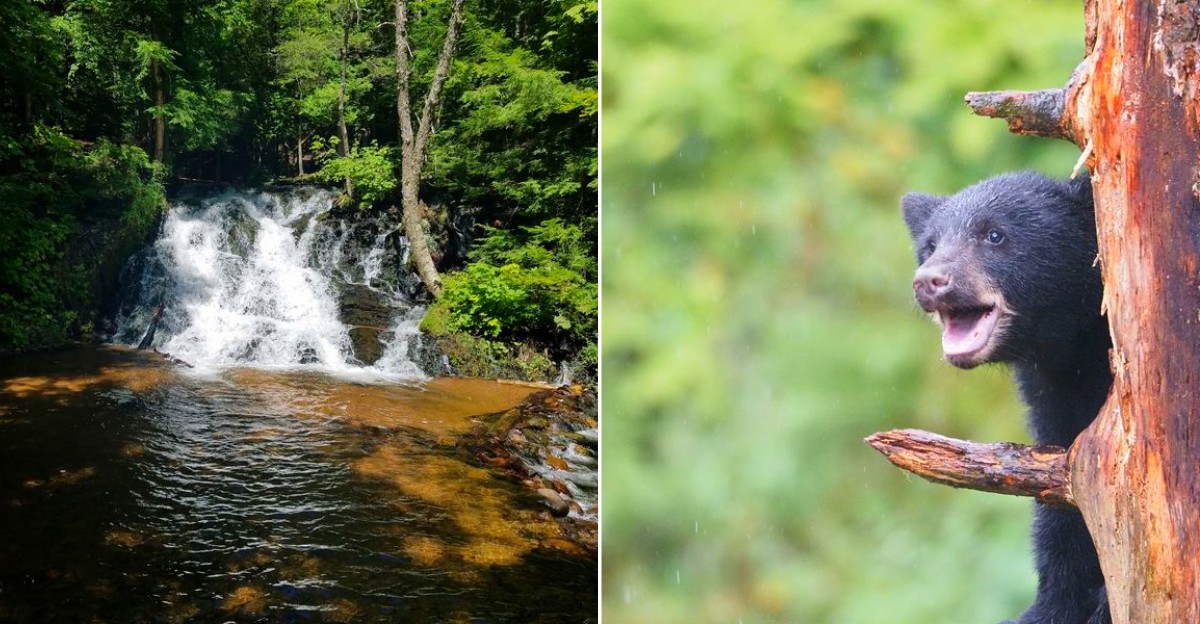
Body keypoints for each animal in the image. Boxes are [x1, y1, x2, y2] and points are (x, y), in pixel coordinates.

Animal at [900, 171, 1112, 624]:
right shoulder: (1056, 390)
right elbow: (1066, 486)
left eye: (994, 234)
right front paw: (1051, 606)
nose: (929, 280)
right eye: (930, 244)